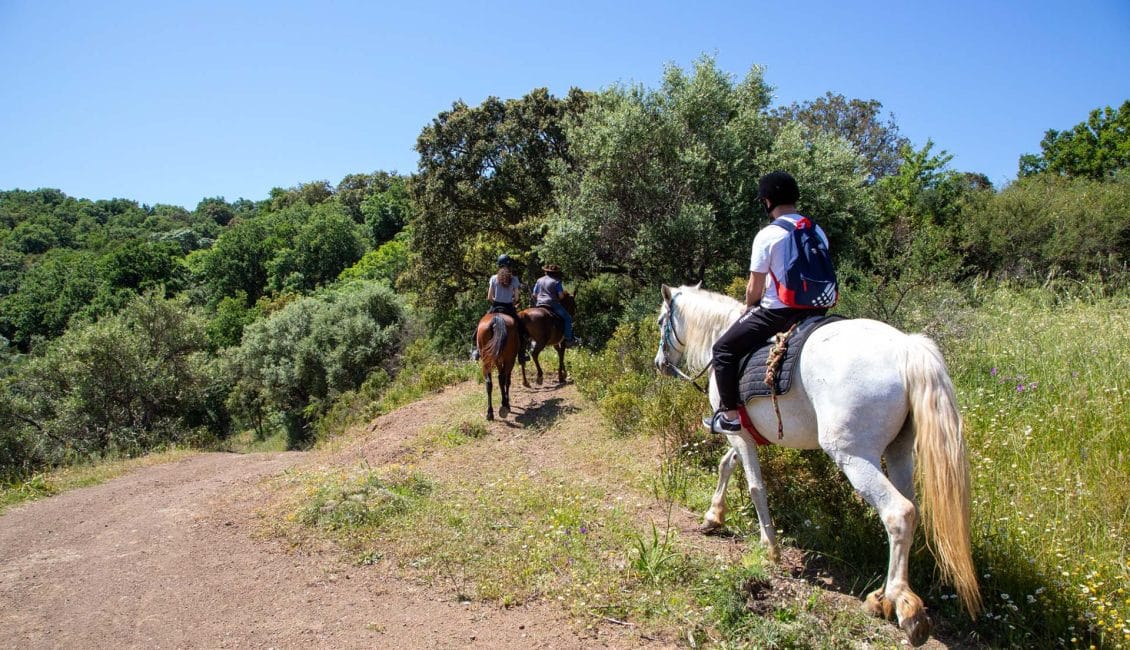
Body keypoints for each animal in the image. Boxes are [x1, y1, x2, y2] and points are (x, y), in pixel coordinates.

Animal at [655, 284, 980, 646]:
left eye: (661, 321)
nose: (659, 364)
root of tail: (907, 348)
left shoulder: (736, 432)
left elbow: (754, 486)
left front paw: (770, 548)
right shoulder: (743, 435)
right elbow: (727, 465)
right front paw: (713, 517)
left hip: (854, 456)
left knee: (899, 513)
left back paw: (903, 606)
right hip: (899, 452)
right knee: (911, 510)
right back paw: (882, 597)